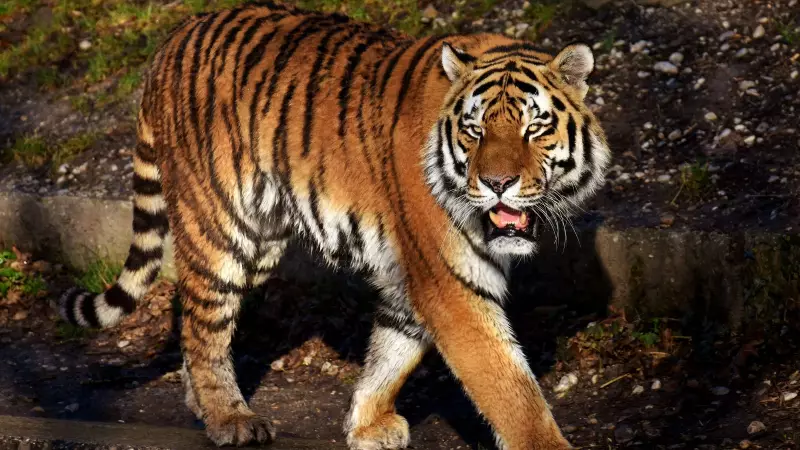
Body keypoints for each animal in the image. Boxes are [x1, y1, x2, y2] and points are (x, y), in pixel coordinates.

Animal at [57, 1, 611, 449]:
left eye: (534, 127)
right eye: (474, 131)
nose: (497, 183)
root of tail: (173, 38)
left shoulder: (413, 276)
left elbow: (393, 350)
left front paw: (366, 424)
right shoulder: (450, 280)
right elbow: (509, 388)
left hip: (261, 242)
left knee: (194, 320)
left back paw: (203, 406)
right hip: (219, 228)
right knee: (205, 325)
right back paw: (230, 419)